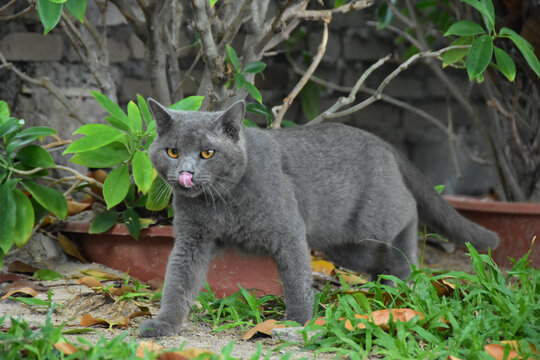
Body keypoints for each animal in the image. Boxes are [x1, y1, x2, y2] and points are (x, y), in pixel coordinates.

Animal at [139, 98, 498, 338]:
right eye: (172, 152)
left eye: (207, 153)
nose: (185, 174)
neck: (222, 201)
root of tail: (382, 142)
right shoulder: (192, 239)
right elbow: (178, 280)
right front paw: (164, 324)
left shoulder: (288, 231)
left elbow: (296, 279)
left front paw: (297, 321)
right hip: (347, 246)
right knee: (377, 256)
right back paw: (385, 289)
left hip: (374, 219)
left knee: (408, 211)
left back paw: (402, 276)